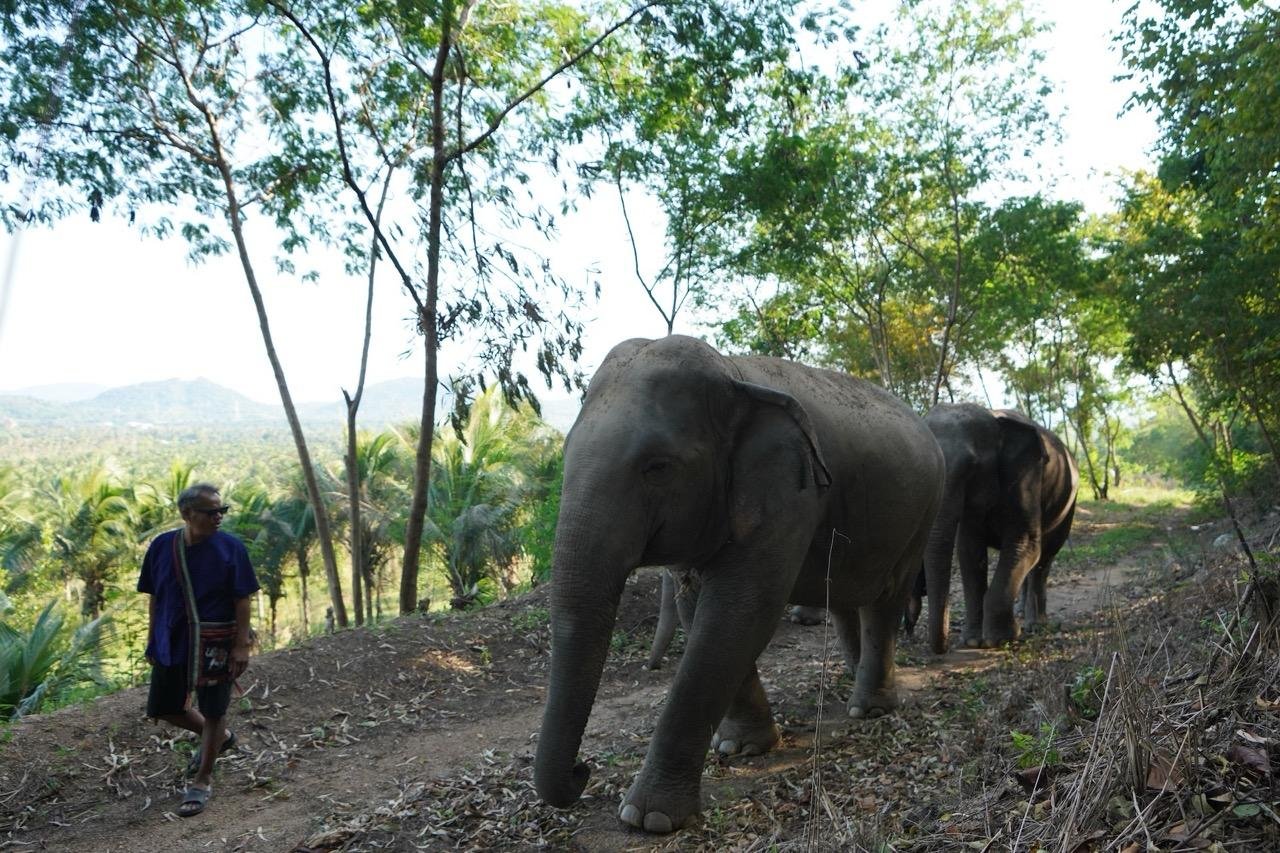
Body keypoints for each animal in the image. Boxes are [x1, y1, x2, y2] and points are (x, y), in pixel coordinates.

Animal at [533, 335, 944, 833]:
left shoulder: (792, 493)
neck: (733, 373)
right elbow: (703, 612)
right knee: (851, 597)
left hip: (923, 515)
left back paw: (869, 709)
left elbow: (739, 612)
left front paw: (648, 818)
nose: (582, 771)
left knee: (885, 599)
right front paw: (741, 748)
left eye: (658, 466)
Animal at [917, 403, 1079, 654]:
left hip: (1067, 505)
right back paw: (1021, 612)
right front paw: (973, 641)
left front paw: (999, 639)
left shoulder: (1026, 480)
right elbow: (969, 552)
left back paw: (1035, 624)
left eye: (971, 467)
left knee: (1045, 558)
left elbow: (1025, 545)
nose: (942, 648)